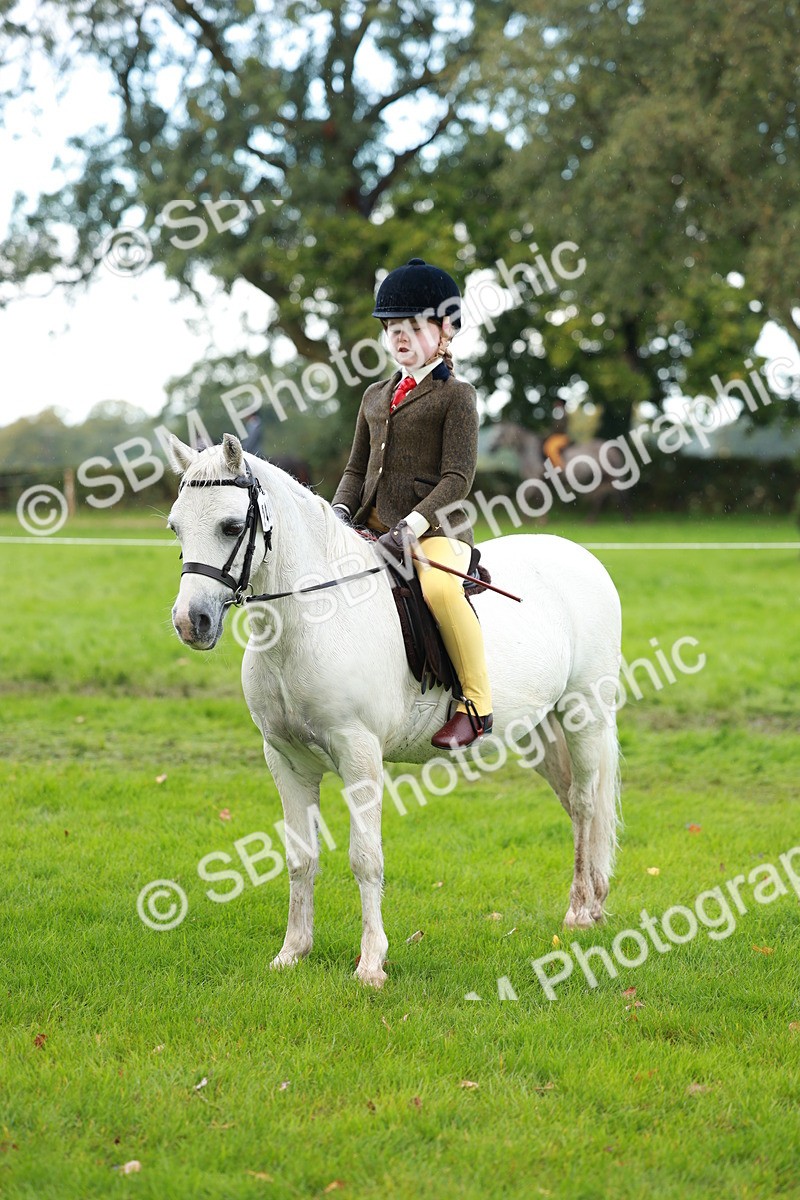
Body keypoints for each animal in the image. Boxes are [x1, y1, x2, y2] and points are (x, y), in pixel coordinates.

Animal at [166, 433, 622, 988]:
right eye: (175, 526)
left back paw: (581, 911)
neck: (311, 616)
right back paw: (592, 903)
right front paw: (292, 952)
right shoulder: (286, 759)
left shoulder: (359, 754)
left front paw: (371, 965)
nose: (191, 622)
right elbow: (300, 857)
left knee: (585, 802)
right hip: (541, 729)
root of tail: (581, 557)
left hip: (586, 713)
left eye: (231, 526)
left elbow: (365, 859)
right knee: (574, 805)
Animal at [490, 422, 634, 522]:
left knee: (621, 493)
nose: (491, 448)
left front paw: (533, 519)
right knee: (602, 496)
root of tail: (612, 448)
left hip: (613, 476)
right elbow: (536, 497)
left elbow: (529, 496)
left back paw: (626, 519)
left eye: (501, 434)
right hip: (602, 479)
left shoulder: (534, 478)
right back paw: (591, 520)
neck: (528, 449)